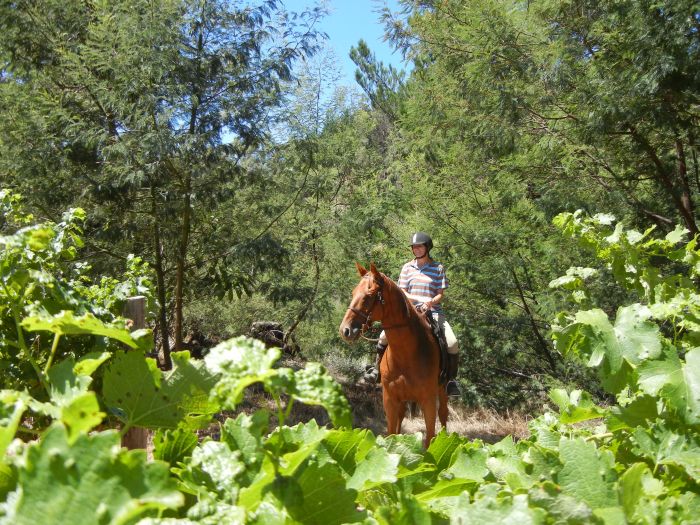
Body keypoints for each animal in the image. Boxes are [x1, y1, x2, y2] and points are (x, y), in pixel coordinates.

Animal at [340, 260, 448, 442]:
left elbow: (429, 438)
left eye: (369, 295)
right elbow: (391, 434)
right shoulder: (390, 399)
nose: (345, 330)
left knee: (444, 415)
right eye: (354, 292)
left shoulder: (428, 401)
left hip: (442, 391)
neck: (407, 353)